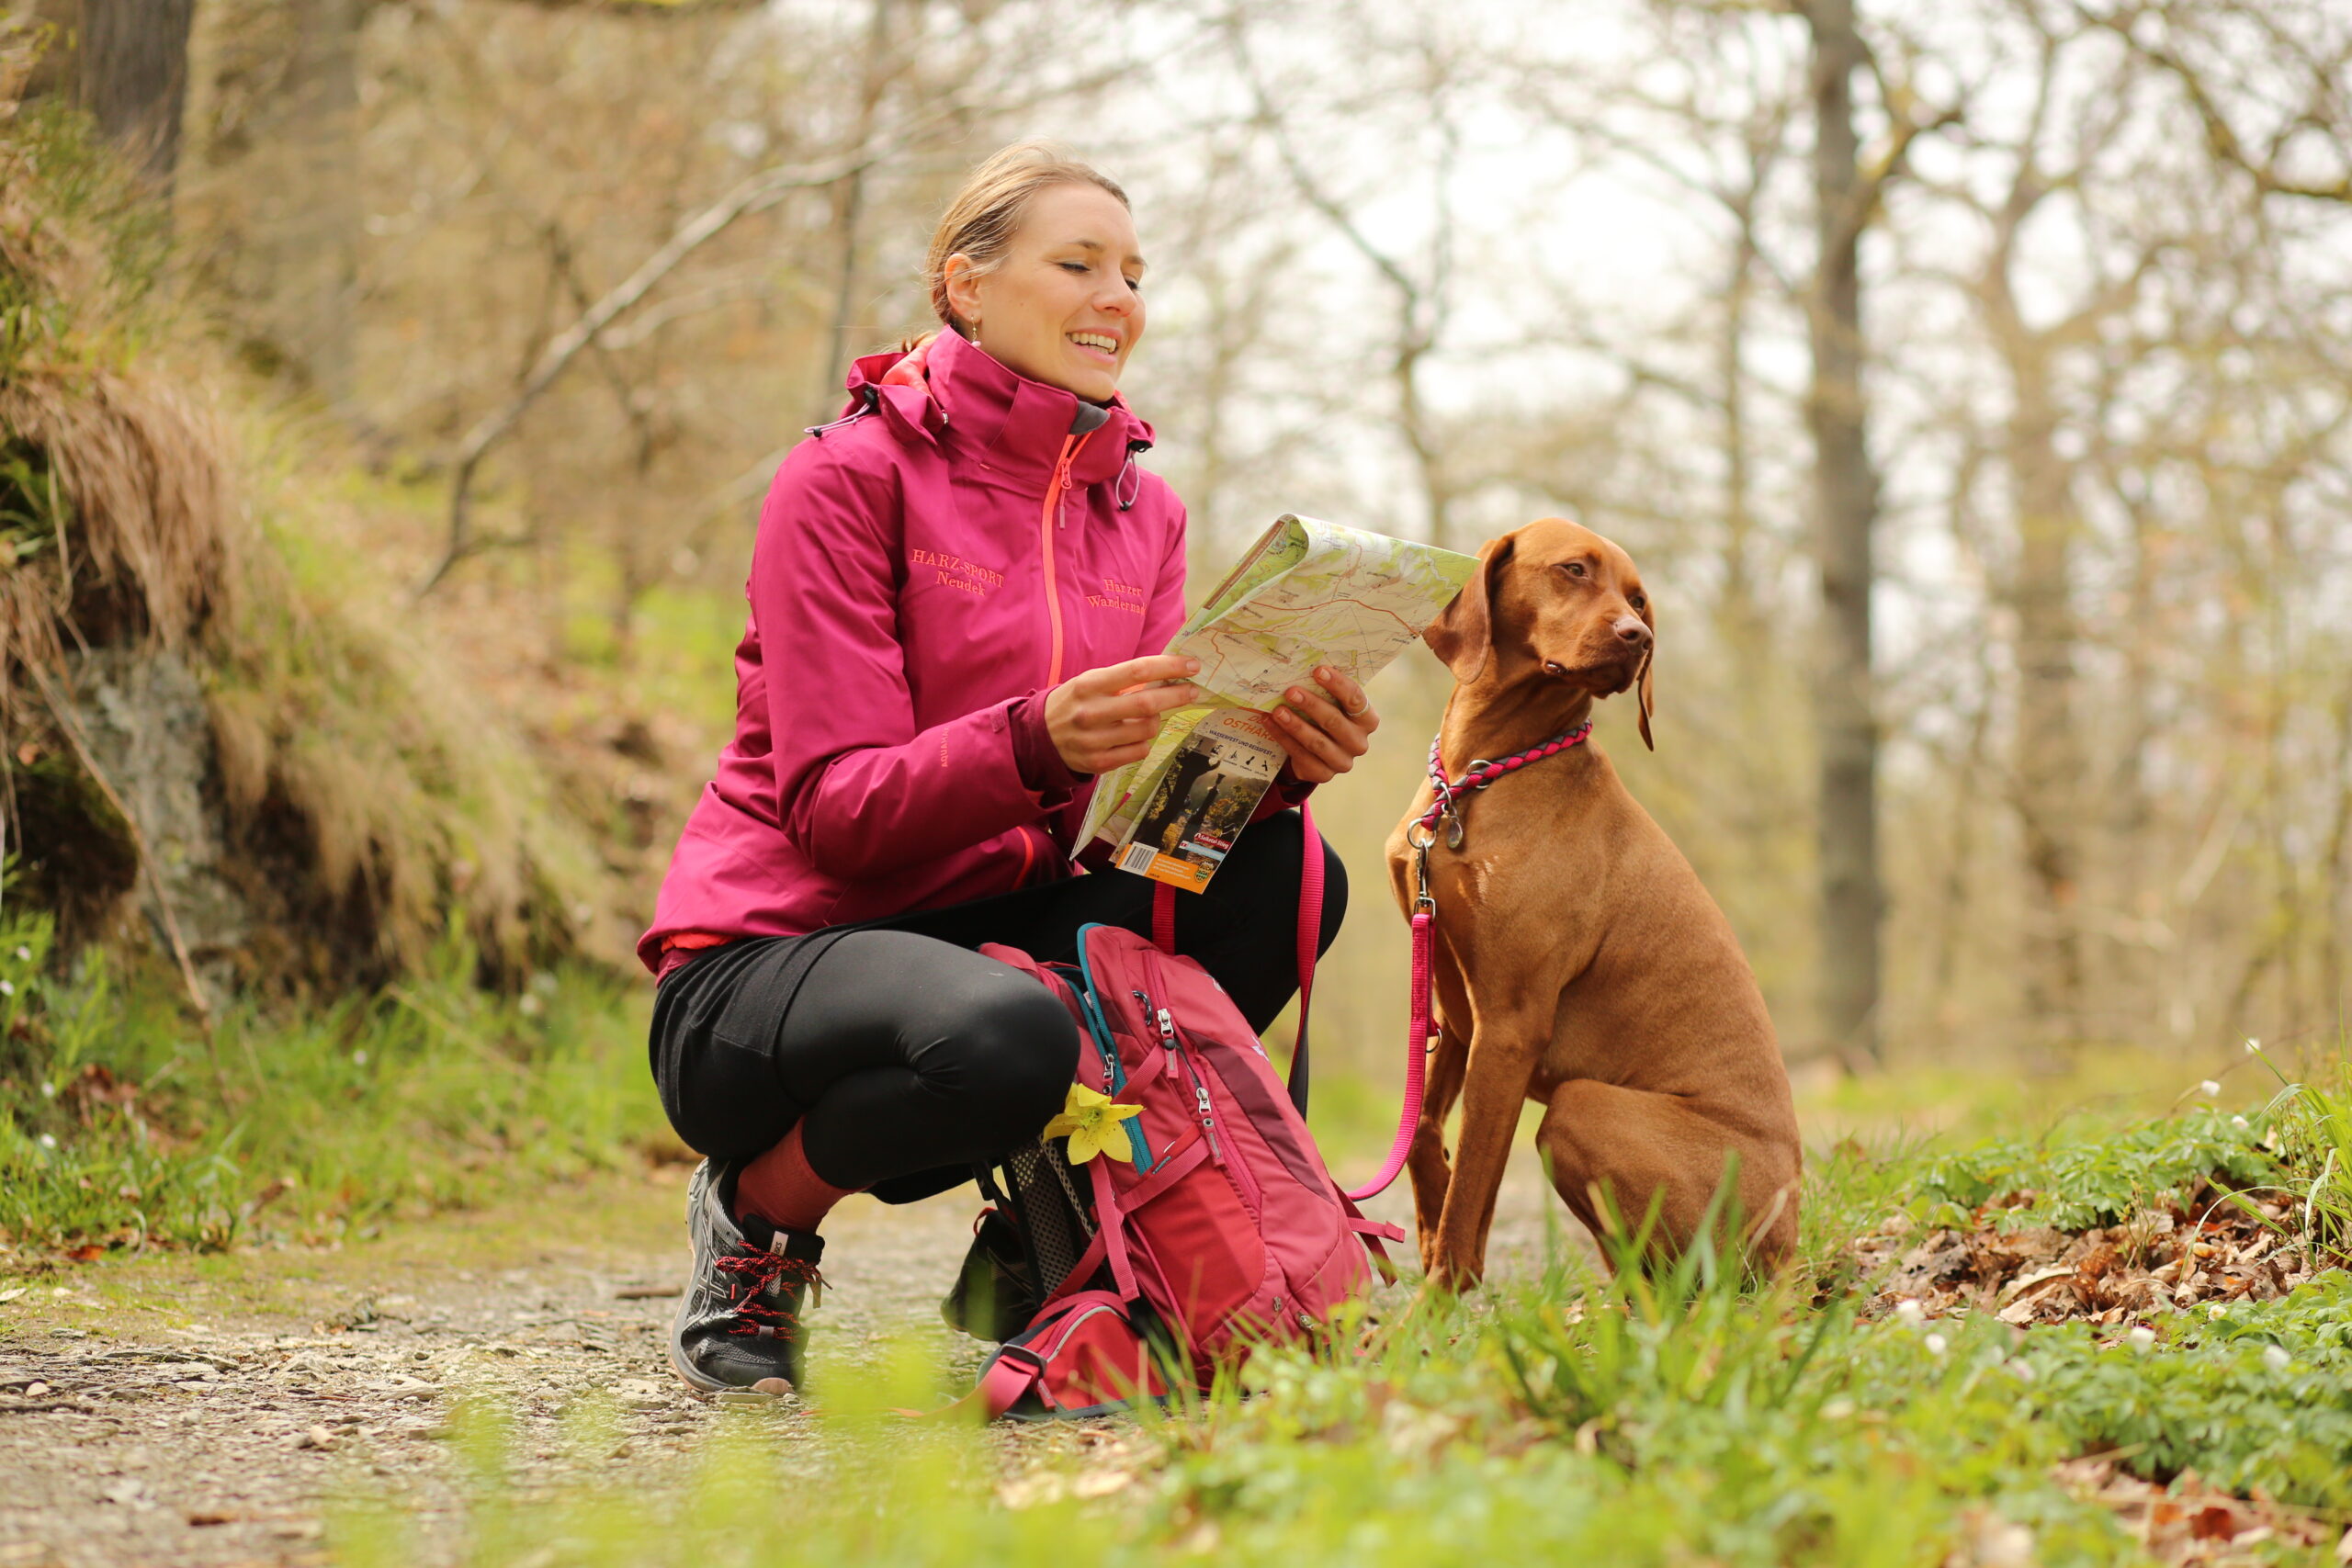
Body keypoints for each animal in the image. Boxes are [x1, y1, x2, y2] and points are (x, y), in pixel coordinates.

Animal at [1374, 517, 1796, 1288]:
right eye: (1574, 569)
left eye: (1640, 598)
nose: (1639, 636)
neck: (1481, 776)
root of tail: (1793, 1243)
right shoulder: (1454, 1000)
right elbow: (1422, 1127)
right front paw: (1427, 1209)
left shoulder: (1510, 1023)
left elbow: (1469, 1209)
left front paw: (1439, 1292)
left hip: (1583, 1106)